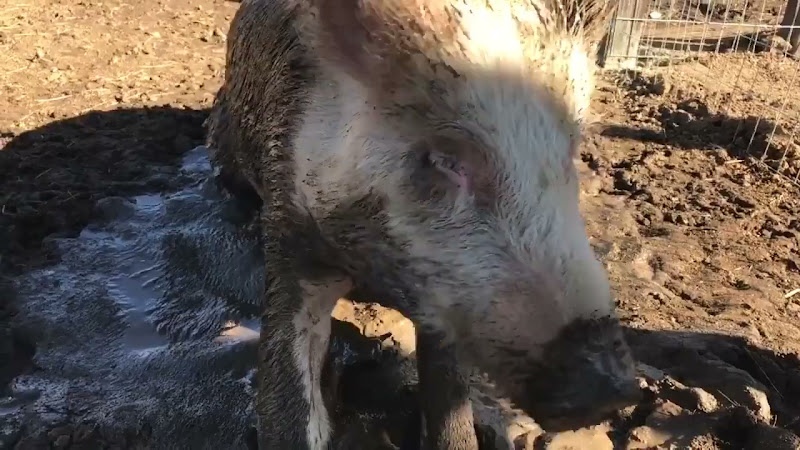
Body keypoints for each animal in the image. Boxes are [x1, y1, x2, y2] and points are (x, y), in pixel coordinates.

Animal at [205, 0, 641, 448]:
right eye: (444, 159)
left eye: (569, 151)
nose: (611, 392)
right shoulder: (290, 225)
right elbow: (286, 394)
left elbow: (449, 393)